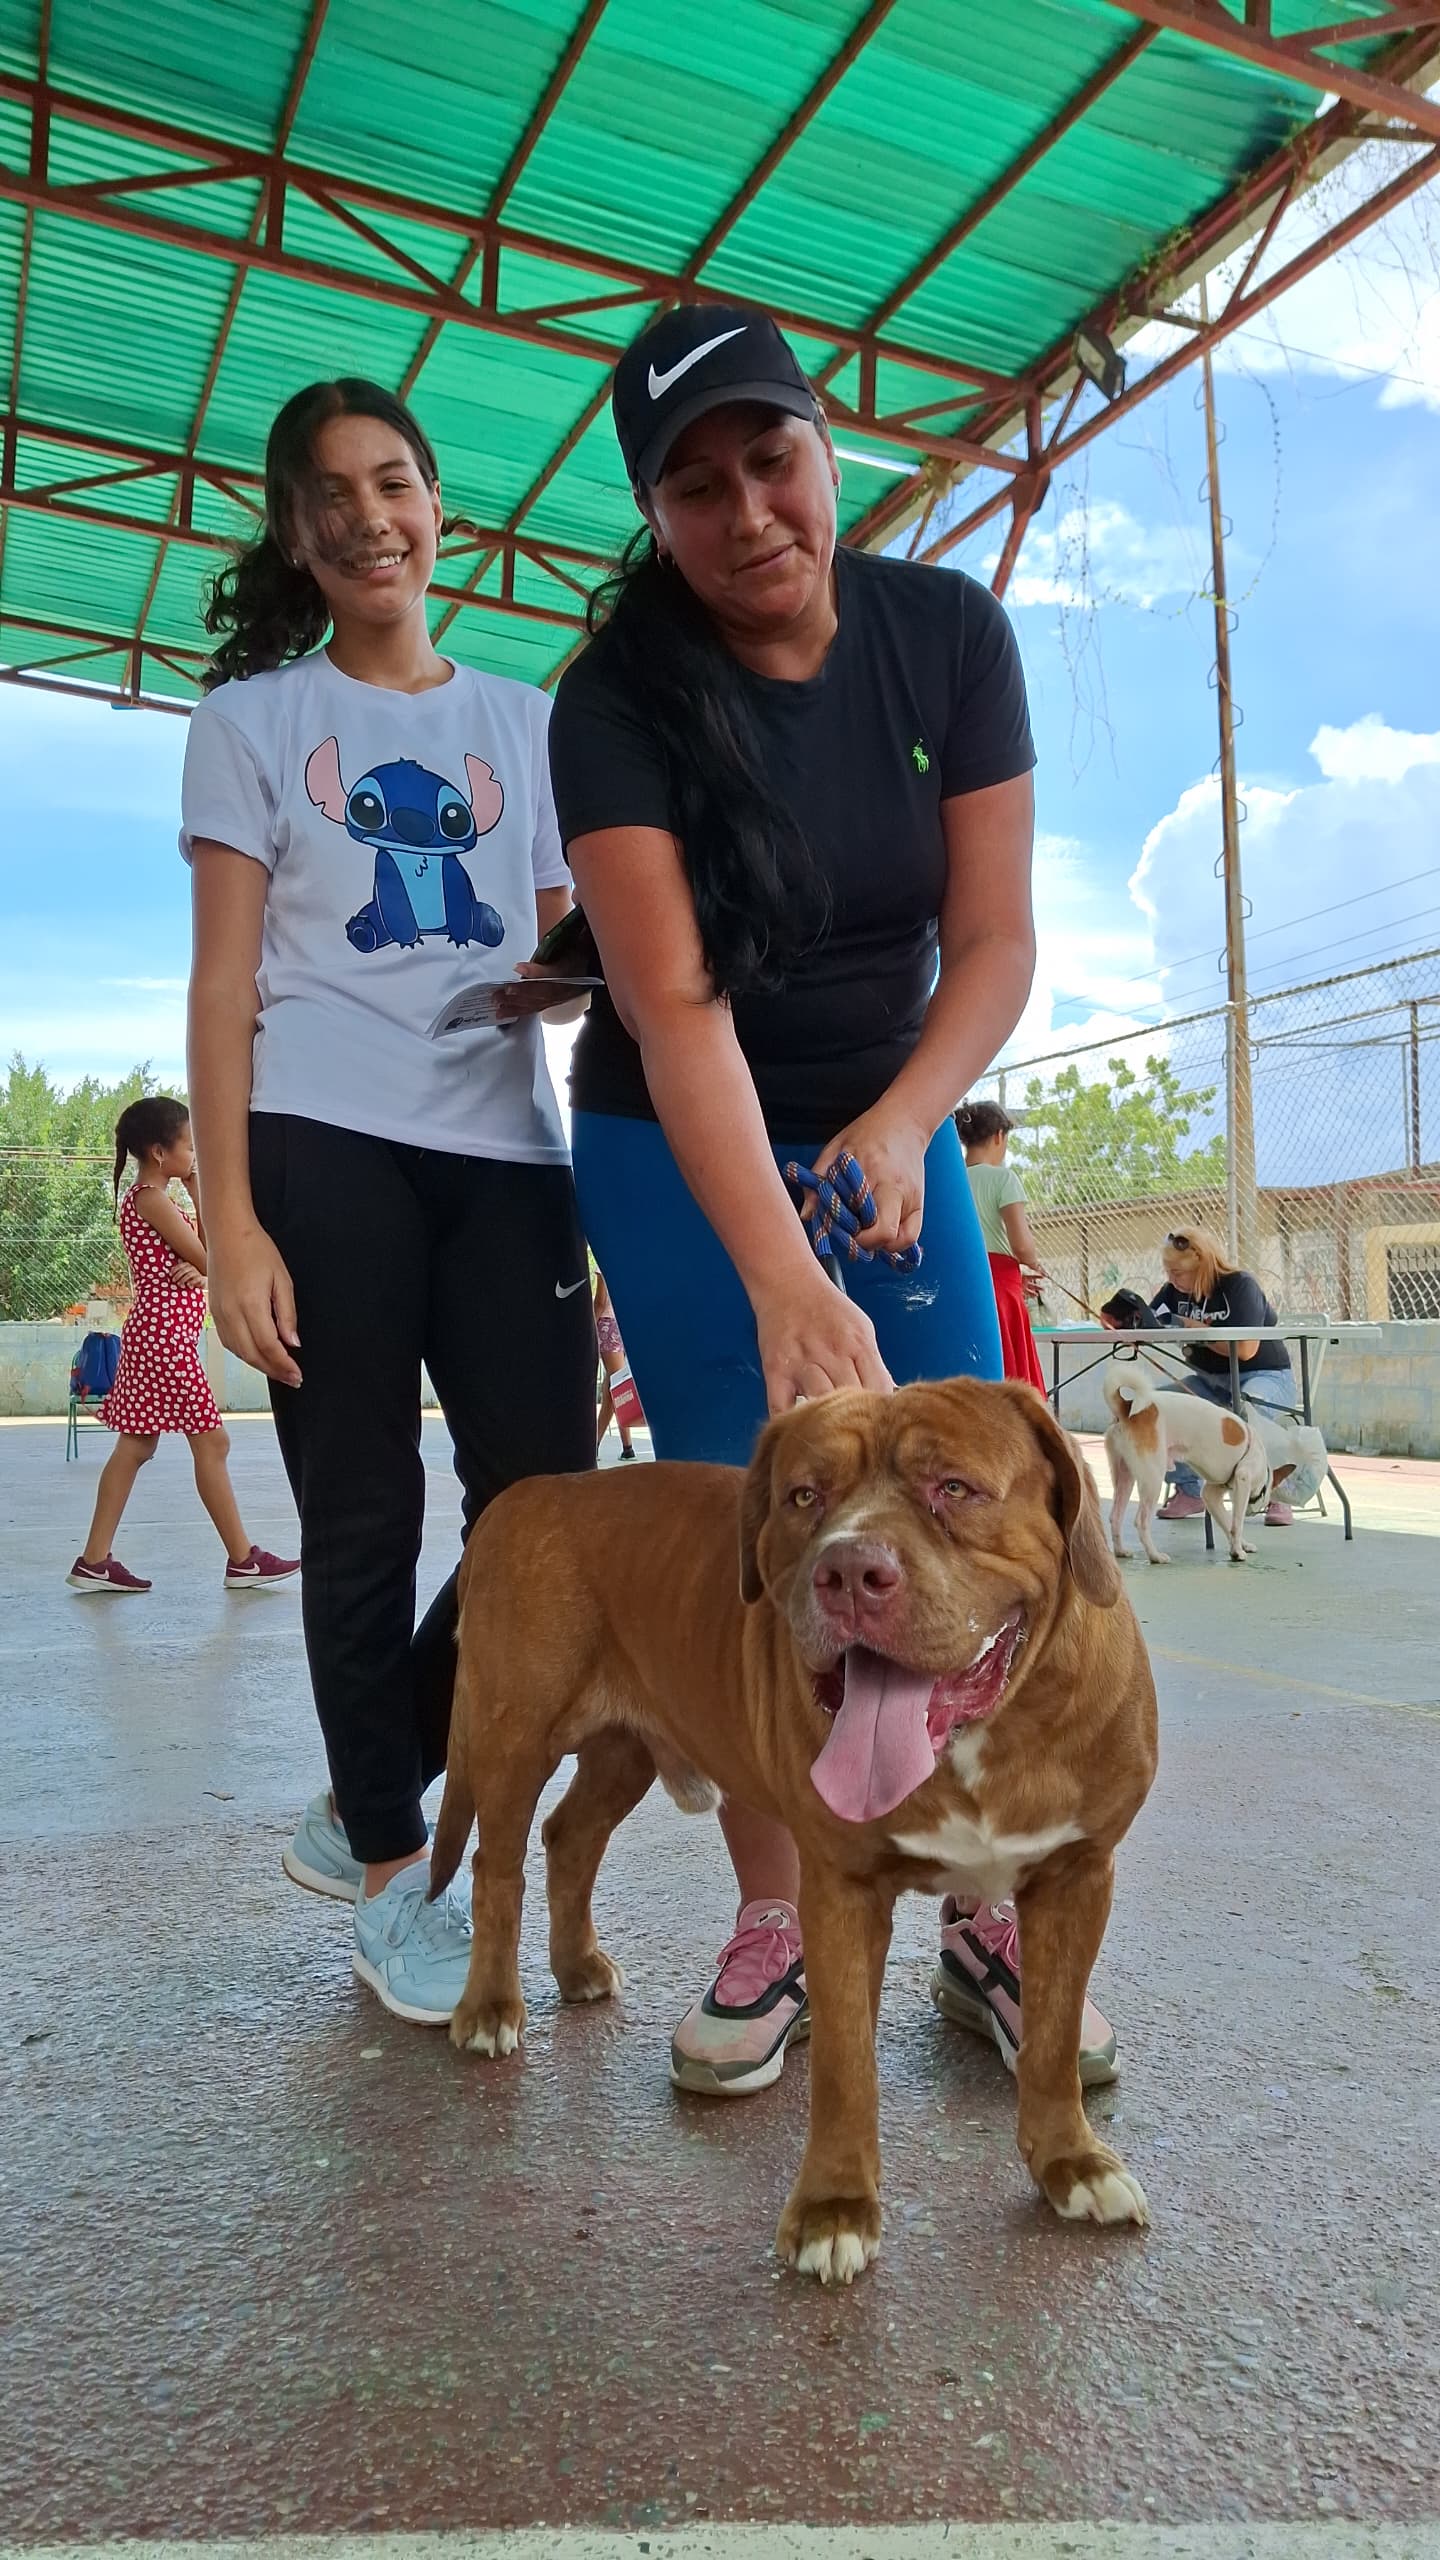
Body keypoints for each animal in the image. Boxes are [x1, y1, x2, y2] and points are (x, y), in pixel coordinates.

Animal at [429, 1378, 1158, 2284]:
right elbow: (847, 2066)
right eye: (806, 1497)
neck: (983, 1738)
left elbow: (1052, 2043)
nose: (849, 1570)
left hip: (624, 1748)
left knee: (571, 1834)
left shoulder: (1076, 1876)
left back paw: (578, 1967)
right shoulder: (842, 1889)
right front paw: (833, 2209)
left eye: (953, 1488)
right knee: (496, 1866)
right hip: (511, 1735)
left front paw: (1072, 2165)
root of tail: (522, 1498)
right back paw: (491, 2008)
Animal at [1103, 1360, 1271, 1565]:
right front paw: (1238, 1552)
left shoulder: (1211, 1494)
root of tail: (1127, 1408)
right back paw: (1155, 1556)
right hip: (1152, 1479)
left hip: (1125, 1475)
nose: (1255, 1510)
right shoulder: (1242, 1478)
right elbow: (1236, 1524)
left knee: (1115, 1516)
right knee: (1141, 1522)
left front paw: (1242, 1546)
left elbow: (1227, 1523)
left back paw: (1120, 1551)